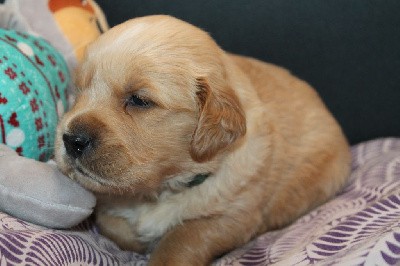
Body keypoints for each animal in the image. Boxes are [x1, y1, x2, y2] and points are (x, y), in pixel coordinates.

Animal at [55, 15, 350, 266]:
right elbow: (112, 223)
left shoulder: (234, 216)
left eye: (139, 100)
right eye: (78, 91)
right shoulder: (109, 206)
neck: (162, 190)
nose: (71, 140)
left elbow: (182, 237)